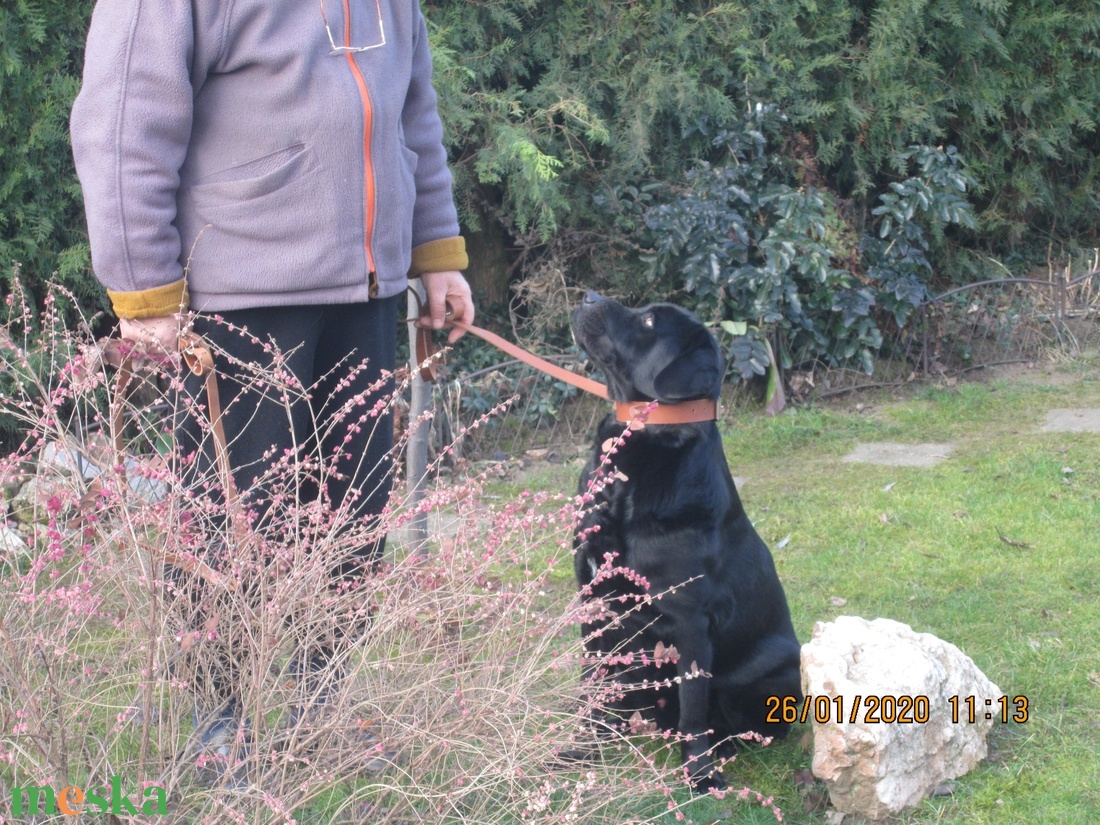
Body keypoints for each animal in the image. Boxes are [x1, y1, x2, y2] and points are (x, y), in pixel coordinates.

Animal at [567, 294, 800, 792]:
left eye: (649, 321)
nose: (588, 296)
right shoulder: (593, 600)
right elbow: (592, 686)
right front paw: (581, 749)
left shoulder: (689, 623)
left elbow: (693, 708)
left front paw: (701, 777)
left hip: (771, 674)